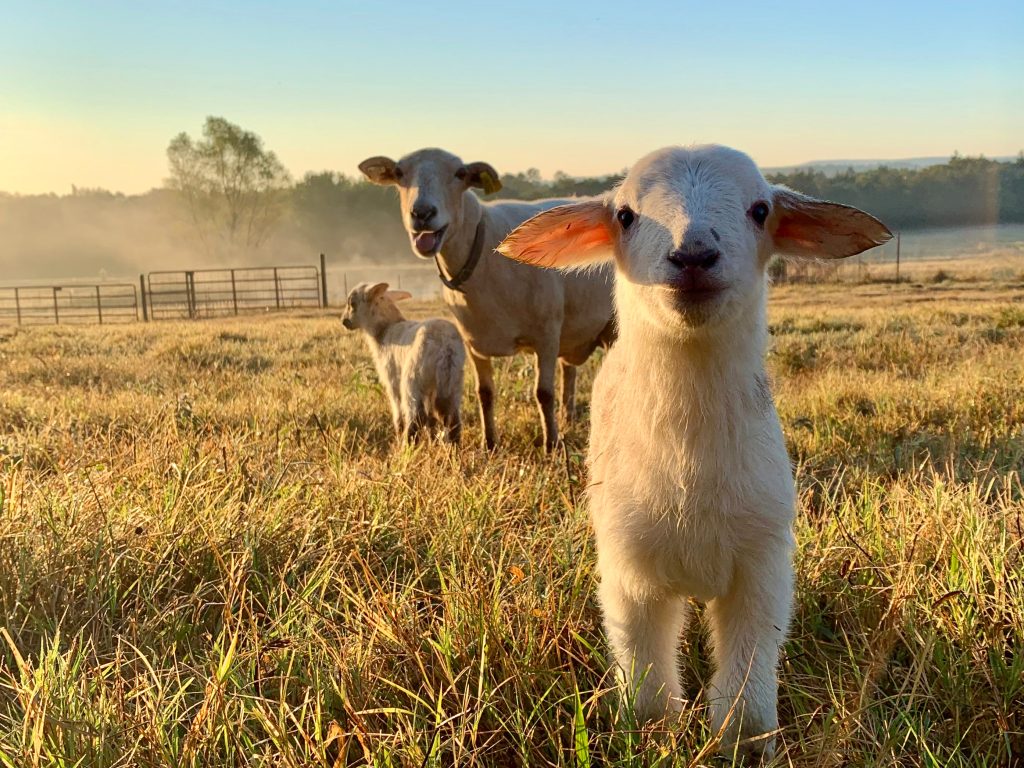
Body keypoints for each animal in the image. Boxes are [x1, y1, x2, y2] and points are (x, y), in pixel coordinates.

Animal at [342, 282, 465, 445]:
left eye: (352, 304)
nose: (344, 322)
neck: (384, 330)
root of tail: (445, 347)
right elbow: (431, 419)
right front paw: (432, 440)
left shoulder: (391, 380)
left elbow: (398, 413)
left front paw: (399, 435)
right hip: (453, 381)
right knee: (453, 419)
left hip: (412, 379)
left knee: (416, 417)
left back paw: (407, 445)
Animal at [358, 148, 616, 451]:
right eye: (399, 173)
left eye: (460, 173)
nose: (422, 213)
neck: (483, 249)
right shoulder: (474, 343)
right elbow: (485, 393)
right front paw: (489, 443)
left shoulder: (547, 334)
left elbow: (543, 393)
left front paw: (551, 444)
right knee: (569, 372)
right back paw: (567, 417)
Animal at [498, 144, 892, 758]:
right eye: (625, 215)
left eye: (760, 209)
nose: (694, 255)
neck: (691, 471)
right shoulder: (630, 574)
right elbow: (645, 670)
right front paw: (650, 735)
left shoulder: (762, 567)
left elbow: (749, 669)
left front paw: (746, 744)